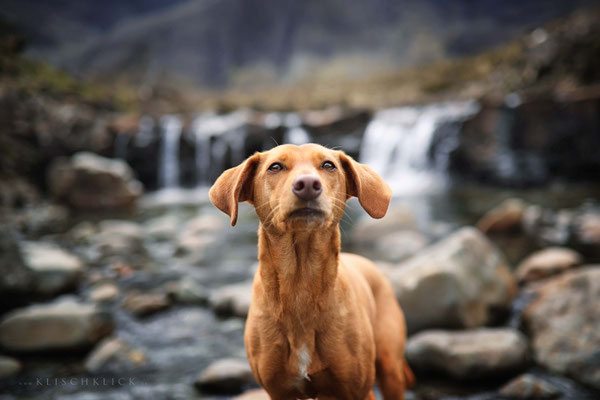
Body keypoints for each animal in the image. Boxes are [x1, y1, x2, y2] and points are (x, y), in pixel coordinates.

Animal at [210, 145, 412, 400]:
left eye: (328, 165)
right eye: (275, 167)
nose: (307, 184)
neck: (300, 282)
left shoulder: (356, 390)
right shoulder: (279, 392)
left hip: (389, 368)